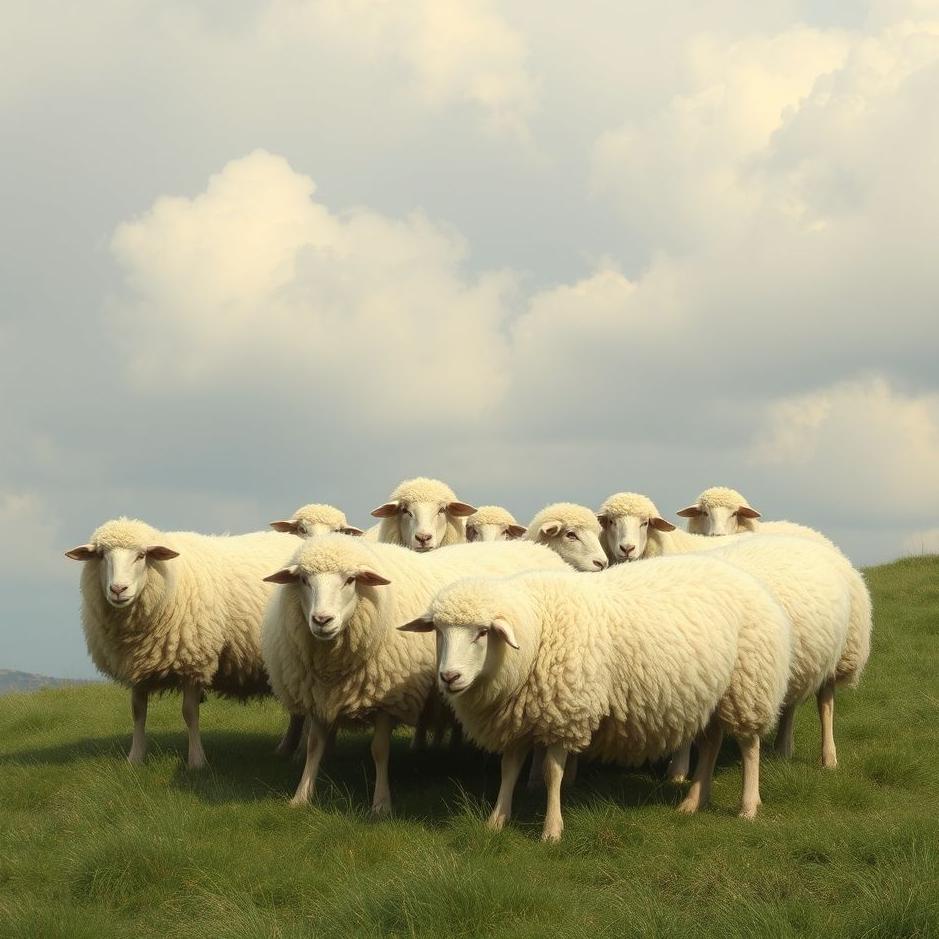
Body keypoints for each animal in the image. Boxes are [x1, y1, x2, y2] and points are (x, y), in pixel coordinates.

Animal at [66, 517, 299, 768]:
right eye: (101, 555)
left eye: (141, 555)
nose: (118, 589)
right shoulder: (137, 663)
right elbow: (138, 712)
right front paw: (135, 758)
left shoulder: (193, 661)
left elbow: (190, 713)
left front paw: (196, 760)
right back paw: (286, 750)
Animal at [260, 535, 569, 813]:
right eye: (303, 580)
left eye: (350, 580)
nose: (322, 620)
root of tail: (540, 548)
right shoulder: (319, 695)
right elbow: (314, 746)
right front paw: (301, 796)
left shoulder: (388, 698)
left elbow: (379, 750)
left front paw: (381, 803)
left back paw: (534, 781)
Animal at [400, 553, 792, 840]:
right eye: (437, 631)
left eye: (482, 632)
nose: (449, 677)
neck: (536, 631)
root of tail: (751, 582)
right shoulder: (517, 718)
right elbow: (508, 769)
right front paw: (497, 820)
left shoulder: (564, 715)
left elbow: (552, 773)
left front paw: (551, 831)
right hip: (712, 695)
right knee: (711, 744)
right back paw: (694, 801)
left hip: (747, 687)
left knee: (750, 747)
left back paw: (748, 807)